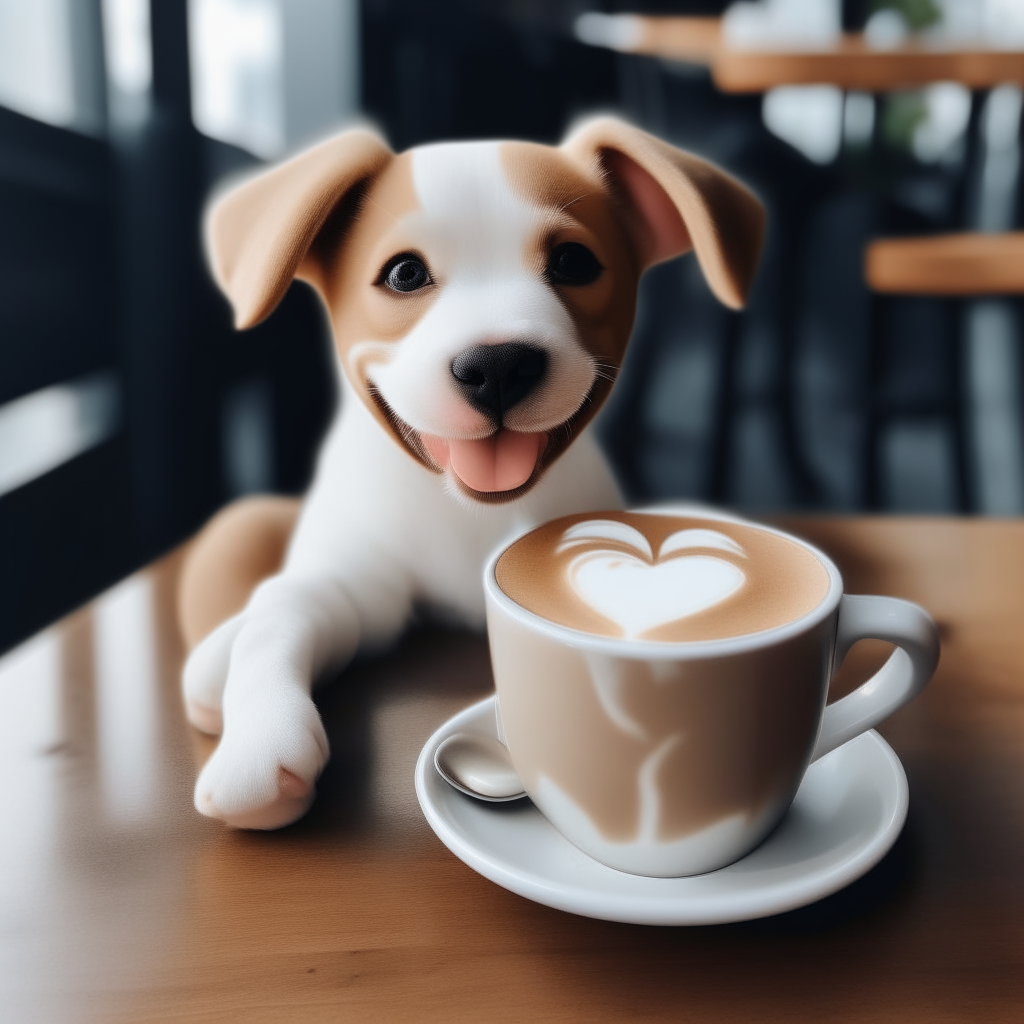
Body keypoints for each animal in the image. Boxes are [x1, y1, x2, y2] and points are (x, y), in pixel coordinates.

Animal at [180, 116, 765, 827]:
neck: (470, 515)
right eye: (405, 273)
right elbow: (279, 611)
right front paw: (259, 739)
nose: (498, 365)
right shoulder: (352, 587)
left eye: (574, 263)